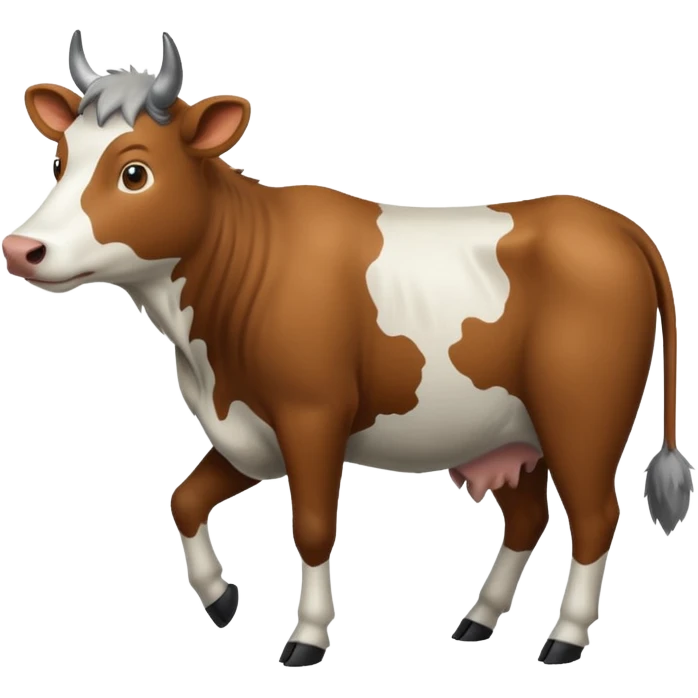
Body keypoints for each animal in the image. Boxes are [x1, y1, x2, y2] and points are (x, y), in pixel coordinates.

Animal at [2, 30, 694, 668]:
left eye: (134, 172)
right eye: (60, 161)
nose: (21, 249)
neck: (207, 351)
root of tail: (612, 224)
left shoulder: (312, 415)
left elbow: (311, 527)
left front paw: (306, 637)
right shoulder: (249, 429)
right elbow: (184, 499)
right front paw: (220, 597)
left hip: (582, 417)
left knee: (595, 517)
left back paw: (565, 637)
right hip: (508, 433)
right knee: (529, 518)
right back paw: (478, 620)